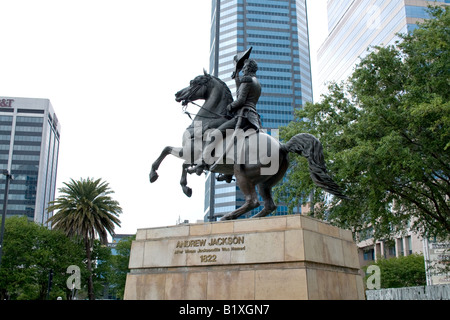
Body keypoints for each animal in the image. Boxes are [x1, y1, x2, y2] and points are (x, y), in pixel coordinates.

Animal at [149, 70, 346, 220]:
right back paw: (252, 219)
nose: (177, 94)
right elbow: (177, 160)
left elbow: (168, 152)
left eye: (193, 82)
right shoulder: (191, 154)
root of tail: (282, 147)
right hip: (265, 182)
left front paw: (161, 178)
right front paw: (185, 183)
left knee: (253, 201)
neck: (207, 120)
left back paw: (228, 216)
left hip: (242, 173)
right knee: (269, 205)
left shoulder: (190, 152)